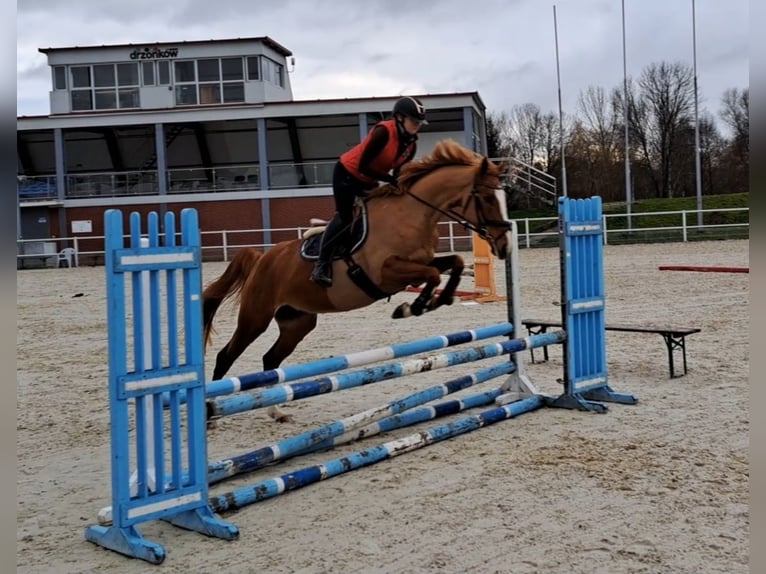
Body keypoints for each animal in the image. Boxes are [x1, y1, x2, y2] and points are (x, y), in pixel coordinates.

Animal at [202, 139, 511, 380]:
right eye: (487, 197)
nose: (504, 245)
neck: (413, 214)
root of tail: (262, 259)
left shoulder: (420, 263)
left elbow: (455, 262)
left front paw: (437, 300)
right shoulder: (387, 272)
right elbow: (434, 275)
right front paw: (412, 307)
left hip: (297, 321)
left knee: (271, 360)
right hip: (255, 317)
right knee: (226, 356)